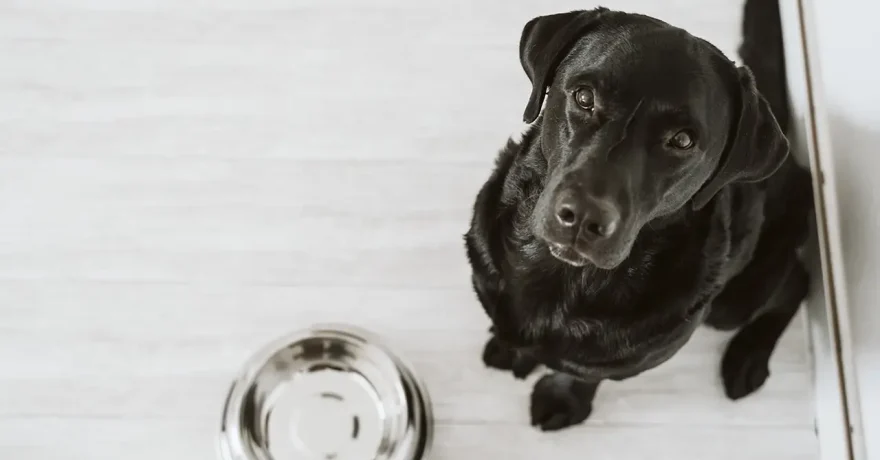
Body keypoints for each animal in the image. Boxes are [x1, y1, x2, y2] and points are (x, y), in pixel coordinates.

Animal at [464, 3, 816, 434]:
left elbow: (581, 373)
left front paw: (562, 398)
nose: (583, 216)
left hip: (733, 303)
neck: (564, 278)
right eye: (584, 97)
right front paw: (511, 349)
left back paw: (747, 356)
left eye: (682, 140)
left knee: (796, 281)